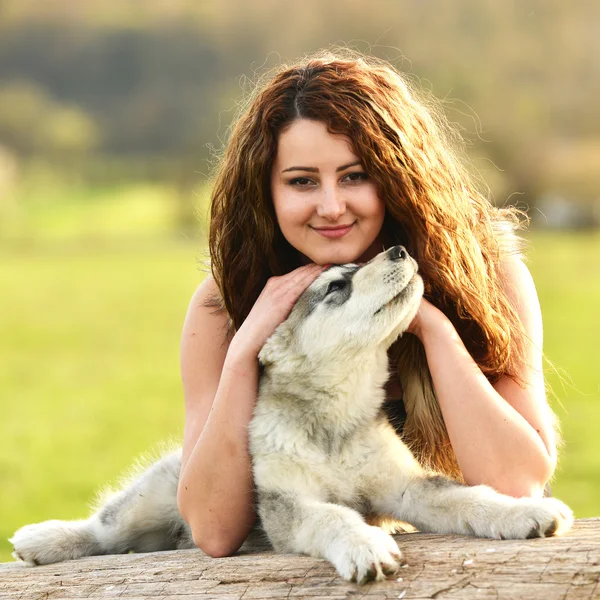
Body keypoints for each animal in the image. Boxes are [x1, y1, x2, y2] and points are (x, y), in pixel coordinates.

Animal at [9, 246, 572, 584]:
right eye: (336, 286)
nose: (399, 248)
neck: (334, 419)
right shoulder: (286, 505)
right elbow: (332, 515)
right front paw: (364, 546)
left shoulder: (406, 486)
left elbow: (470, 497)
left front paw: (526, 512)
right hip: (155, 497)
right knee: (105, 530)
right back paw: (43, 539)